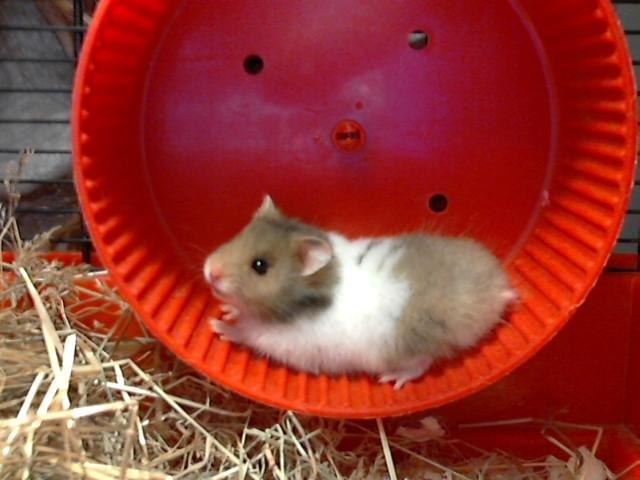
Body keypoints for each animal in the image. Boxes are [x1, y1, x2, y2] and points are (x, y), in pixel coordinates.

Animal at [203, 195, 516, 389]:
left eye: (260, 266)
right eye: (238, 235)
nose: (209, 271)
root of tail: (500, 290)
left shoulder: (276, 338)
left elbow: (246, 331)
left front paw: (216, 325)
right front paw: (227, 310)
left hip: (404, 348)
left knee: (421, 364)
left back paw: (392, 379)